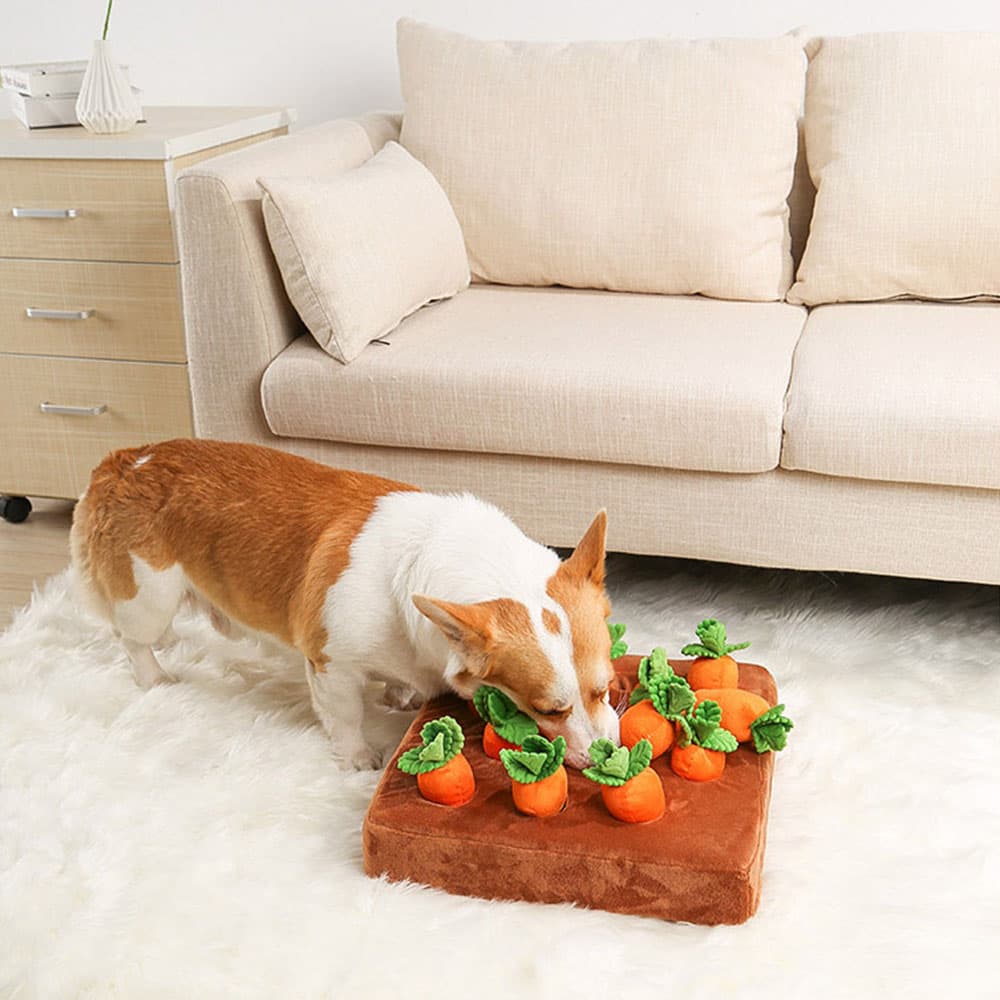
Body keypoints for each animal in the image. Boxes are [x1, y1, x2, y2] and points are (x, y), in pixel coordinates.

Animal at [70, 442, 616, 768]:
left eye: (606, 689)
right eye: (548, 709)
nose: (611, 750)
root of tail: (124, 461)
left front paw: (400, 694)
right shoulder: (332, 665)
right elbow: (347, 716)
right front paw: (359, 758)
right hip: (150, 596)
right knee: (129, 637)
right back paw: (154, 677)